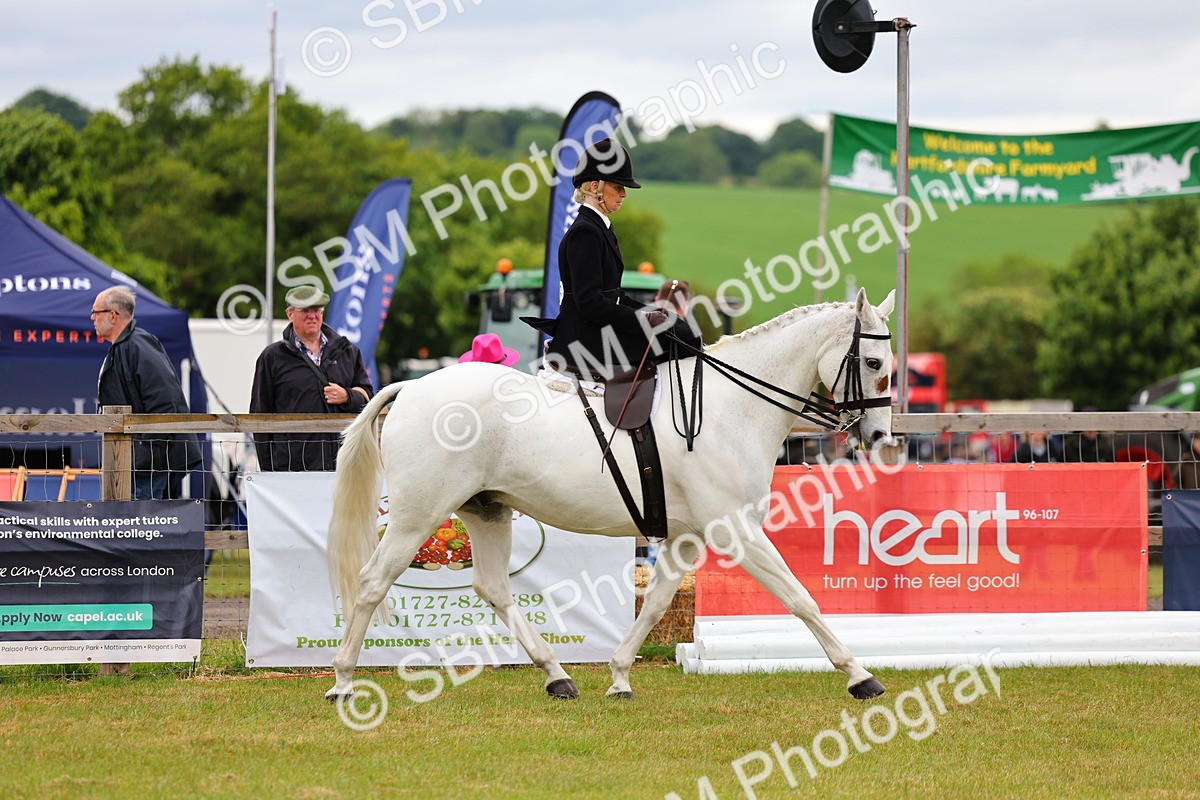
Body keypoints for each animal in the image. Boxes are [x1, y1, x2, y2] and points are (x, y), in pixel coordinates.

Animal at [325, 287, 896, 701]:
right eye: (872, 363)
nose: (878, 437)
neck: (732, 406)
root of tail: (413, 387)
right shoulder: (736, 529)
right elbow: (801, 598)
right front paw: (860, 675)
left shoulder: (685, 538)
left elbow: (656, 604)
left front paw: (620, 677)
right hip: (416, 516)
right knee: (372, 581)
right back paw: (343, 680)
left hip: (487, 511)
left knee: (493, 588)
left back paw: (557, 676)